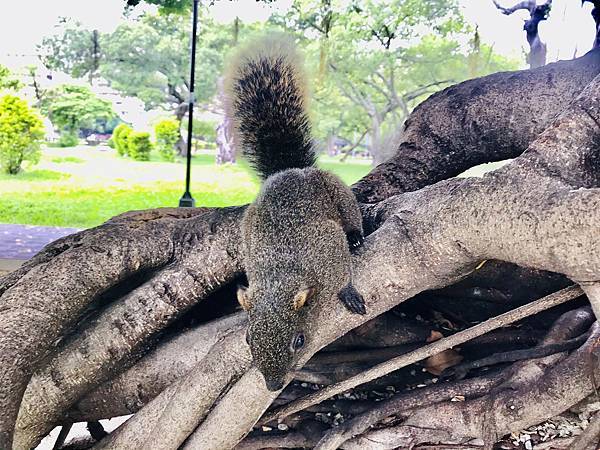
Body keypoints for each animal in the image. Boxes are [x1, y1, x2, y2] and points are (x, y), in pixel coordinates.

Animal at [225, 35, 366, 392]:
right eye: (248, 339)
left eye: (299, 341)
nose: (274, 386)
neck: (280, 275)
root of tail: (289, 169)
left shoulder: (328, 246)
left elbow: (342, 274)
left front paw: (349, 293)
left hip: (338, 192)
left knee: (351, 216)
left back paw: (357, 236)